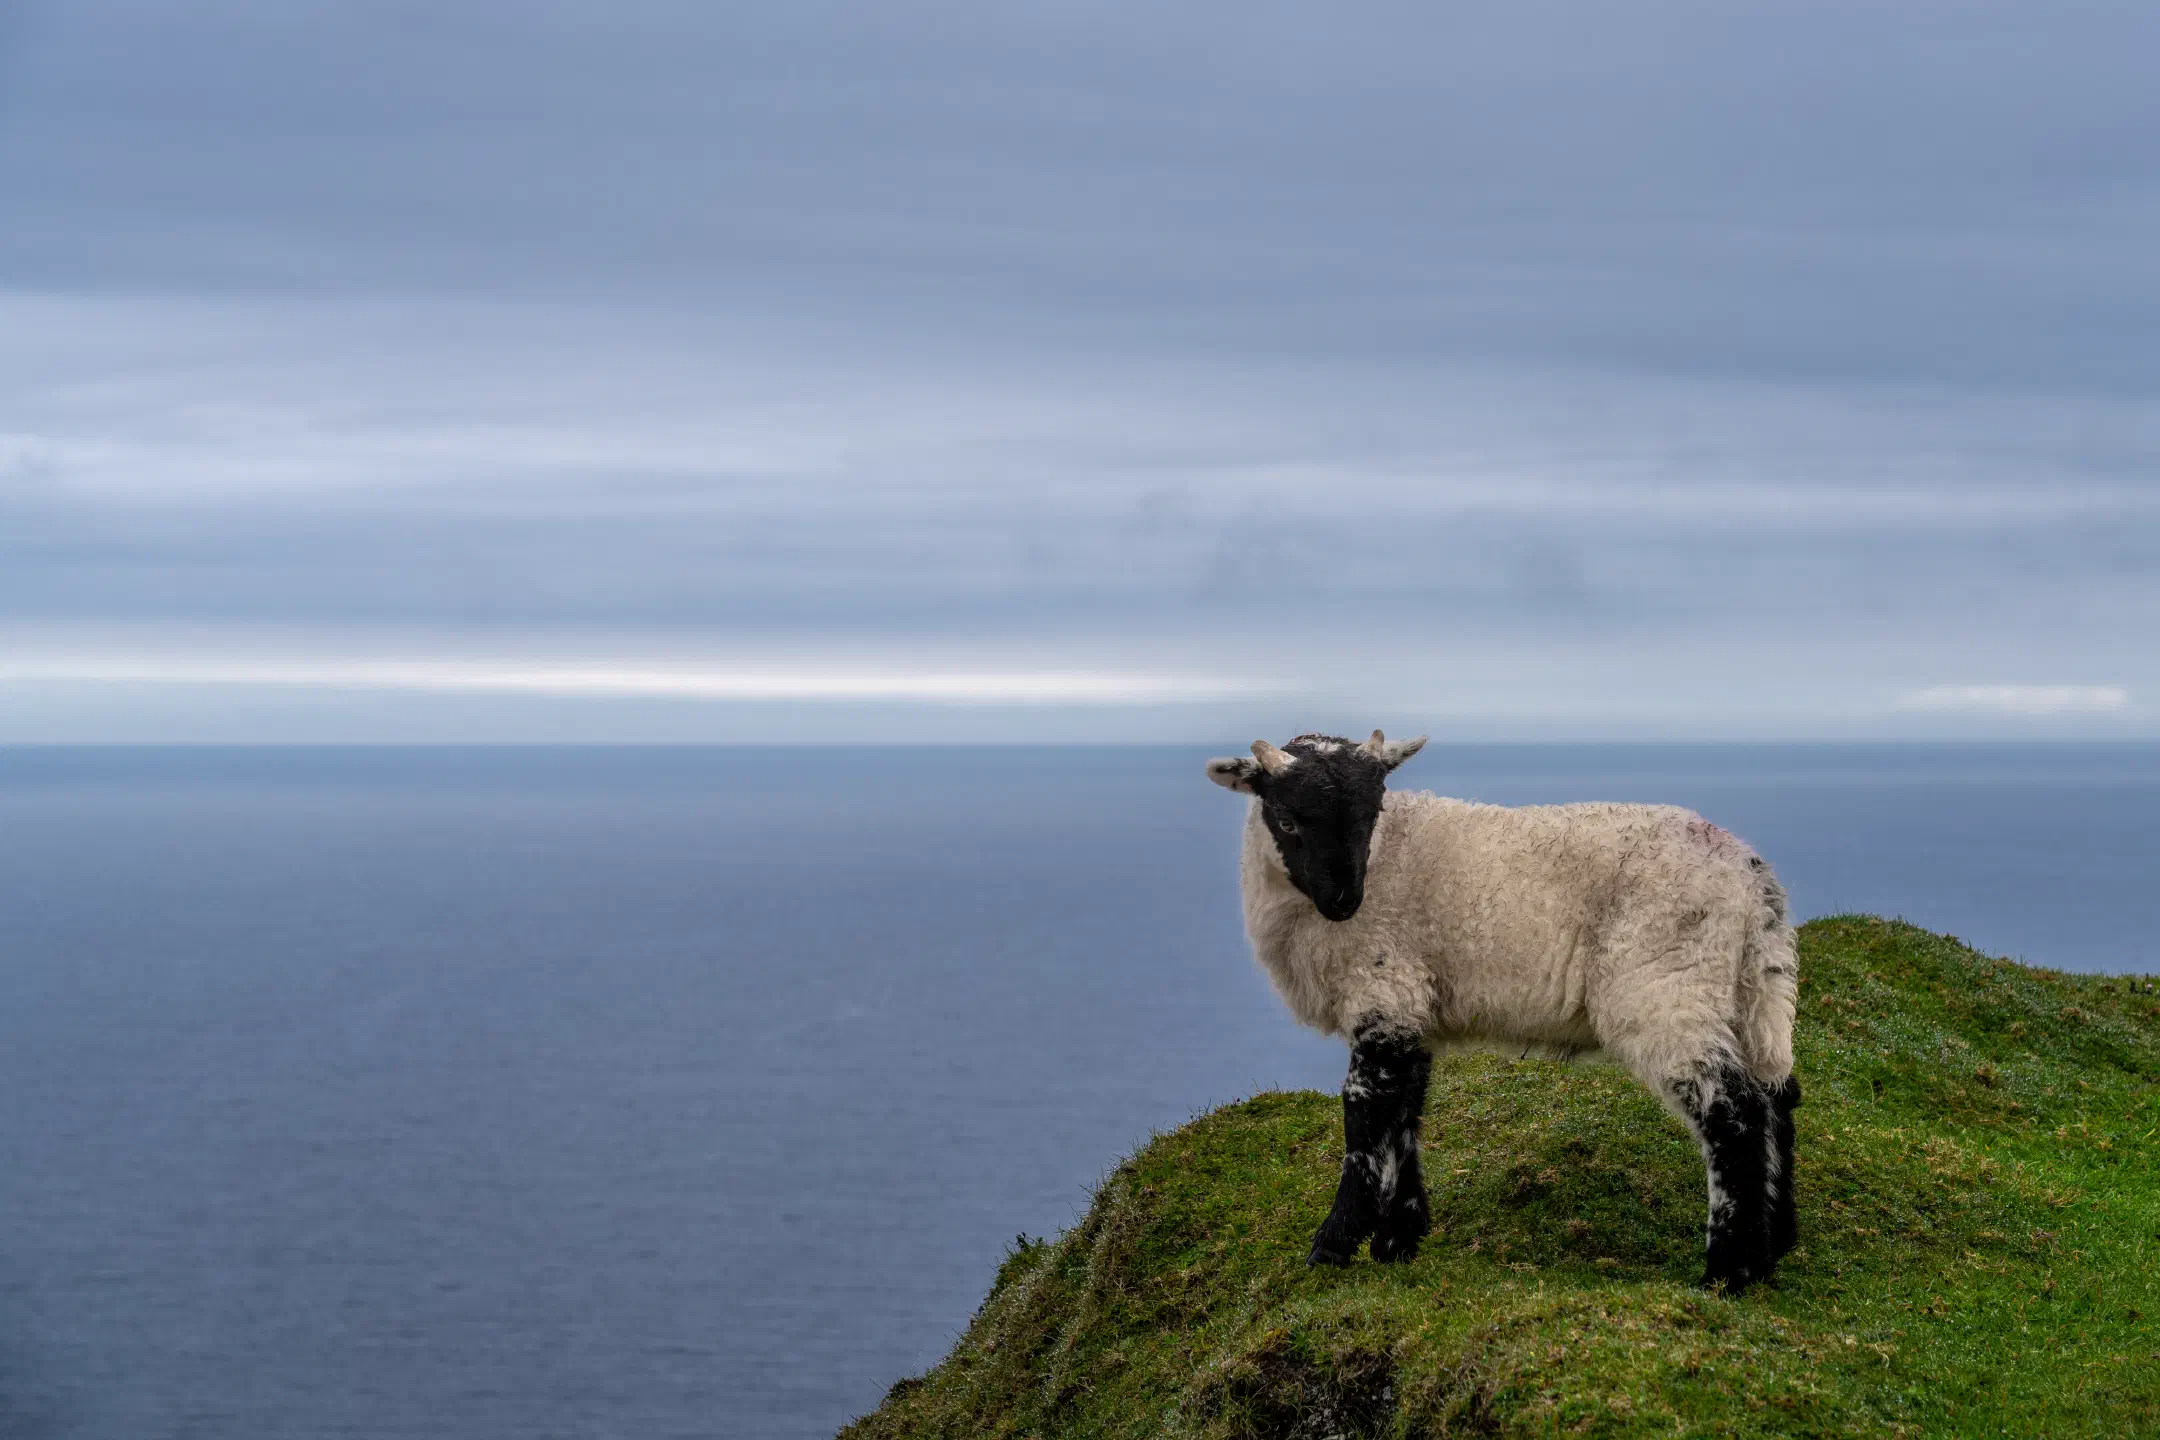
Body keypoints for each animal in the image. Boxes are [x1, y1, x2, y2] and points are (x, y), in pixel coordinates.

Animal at [1206, 730, 1800, 1290]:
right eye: (1286, 818)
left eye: (1372, 812)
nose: (1345, 903)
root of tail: (1752, 880)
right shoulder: (1412, 1008)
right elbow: (1405, 1116)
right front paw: (1398, 1239)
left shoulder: (1384, 990)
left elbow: (1365, 1117)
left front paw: (1333, 1246)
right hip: (1744, 993)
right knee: (1778, 1096)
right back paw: (1777, 1245)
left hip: (1667, 986)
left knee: (1735, 1113)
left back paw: (1729, 1272)